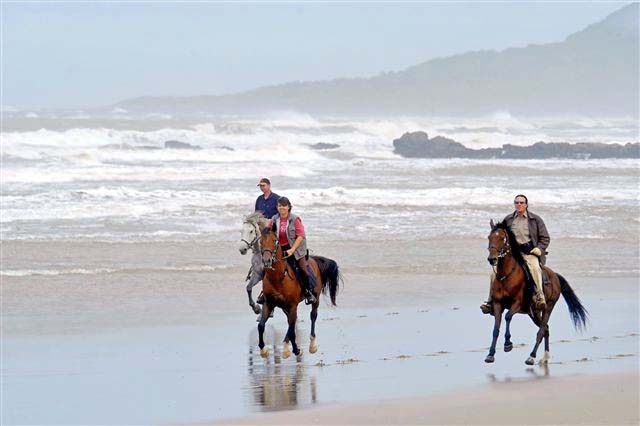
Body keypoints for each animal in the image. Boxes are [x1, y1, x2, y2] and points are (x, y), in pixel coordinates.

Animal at [258, 230, 342, 360]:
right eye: (260, 241)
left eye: (274, 240)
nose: (267, 261)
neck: (278, 278)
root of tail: (312, 259)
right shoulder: (268, 304)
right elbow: (261, 326)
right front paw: (263, 350)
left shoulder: (293, 305)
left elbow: (292, 329)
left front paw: (294, 350)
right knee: (290, 323)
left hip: (315, 299)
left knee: (312, 316)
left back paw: (312, 345)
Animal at [484, 221, 584, 364]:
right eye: (489, 237)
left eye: (502, 238)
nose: (492, 259)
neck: (507, 275)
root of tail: (555, 276)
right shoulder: (498, 304)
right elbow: (496, 329)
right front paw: (490, 354)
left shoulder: (517, 304)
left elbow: (508, 316)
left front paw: (508, 344)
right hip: (534, 313)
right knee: (546, 329)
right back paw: (545, 357)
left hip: (548, 307)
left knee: (542, 330)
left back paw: (531, 356)